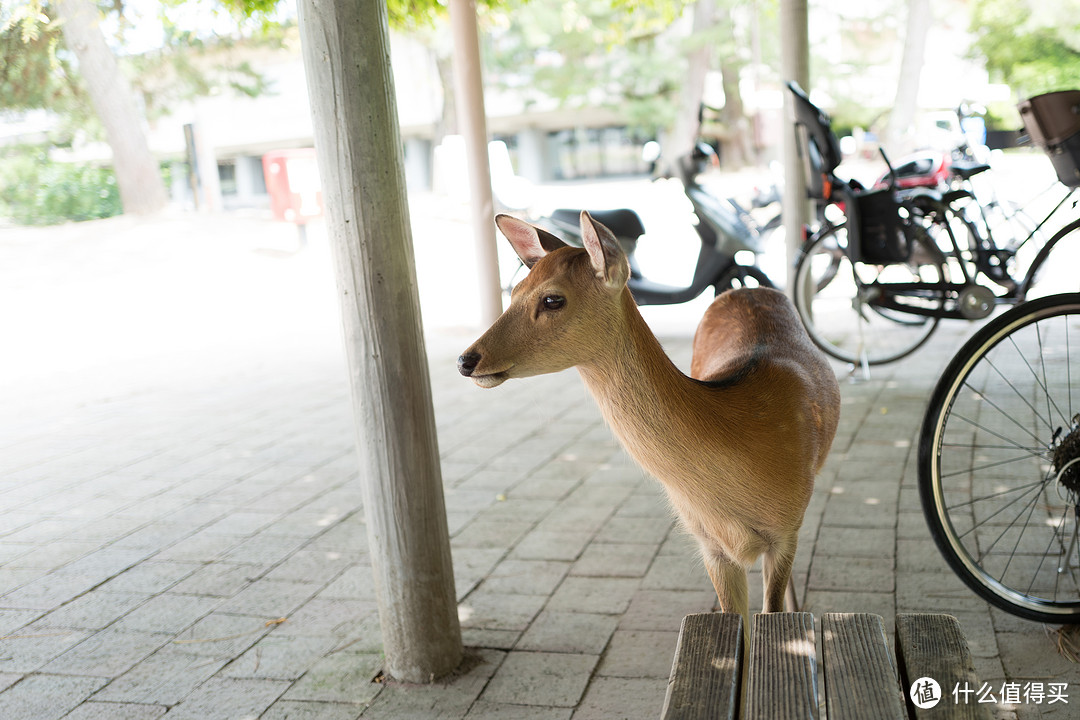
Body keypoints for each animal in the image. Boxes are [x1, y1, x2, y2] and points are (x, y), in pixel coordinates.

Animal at [455, 209, 842, 634]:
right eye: (515, 292)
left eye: (553, 298)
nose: (466, 360)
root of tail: (745, 288)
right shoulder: (708, 544)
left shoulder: (787, 528)